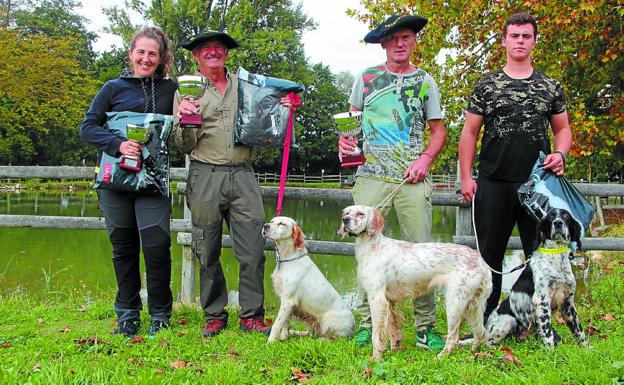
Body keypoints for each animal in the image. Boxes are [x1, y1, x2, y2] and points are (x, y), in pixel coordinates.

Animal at [342, 206, 492, 358]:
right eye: (347, 212)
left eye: (360, 214)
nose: (345, 220)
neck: (373, 246)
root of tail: (481, 261)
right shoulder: (389, 301)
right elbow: (392, 330)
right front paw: (393, 350)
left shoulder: (377, 299)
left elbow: (377, 335)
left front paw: (376, 358)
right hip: (472, 305)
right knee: (480, 332)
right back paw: (475, 352)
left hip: (455, 302)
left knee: (454, 337)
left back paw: (441, 356)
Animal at [486, 208, 588, 346]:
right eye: (550, 217)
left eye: (566, 216)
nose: (558, 223)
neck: (557, 261)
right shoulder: (542, 301)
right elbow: (547, 333)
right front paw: (551, 350)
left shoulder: (568, 302)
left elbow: (579, 330)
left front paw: (587, 347)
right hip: (507, 321)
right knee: (488, 341)